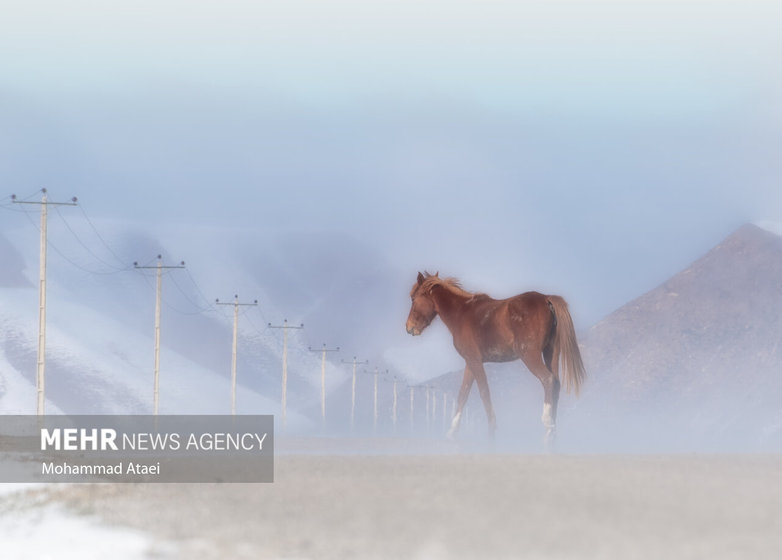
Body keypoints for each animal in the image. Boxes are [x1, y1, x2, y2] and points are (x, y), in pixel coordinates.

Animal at [408, 272, 584, 446]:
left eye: (413, 298)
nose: (409, 327)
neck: (462, 313)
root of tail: (546, 298)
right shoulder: (470, 363)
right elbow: (463, 395)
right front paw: (452, 432)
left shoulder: (475, 361)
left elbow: (484, 393)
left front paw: (491, 430)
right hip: (551, 353)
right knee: (556, 384)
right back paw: (553, 431)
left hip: (530, 355)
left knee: (547, 379)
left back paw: (548, 425)